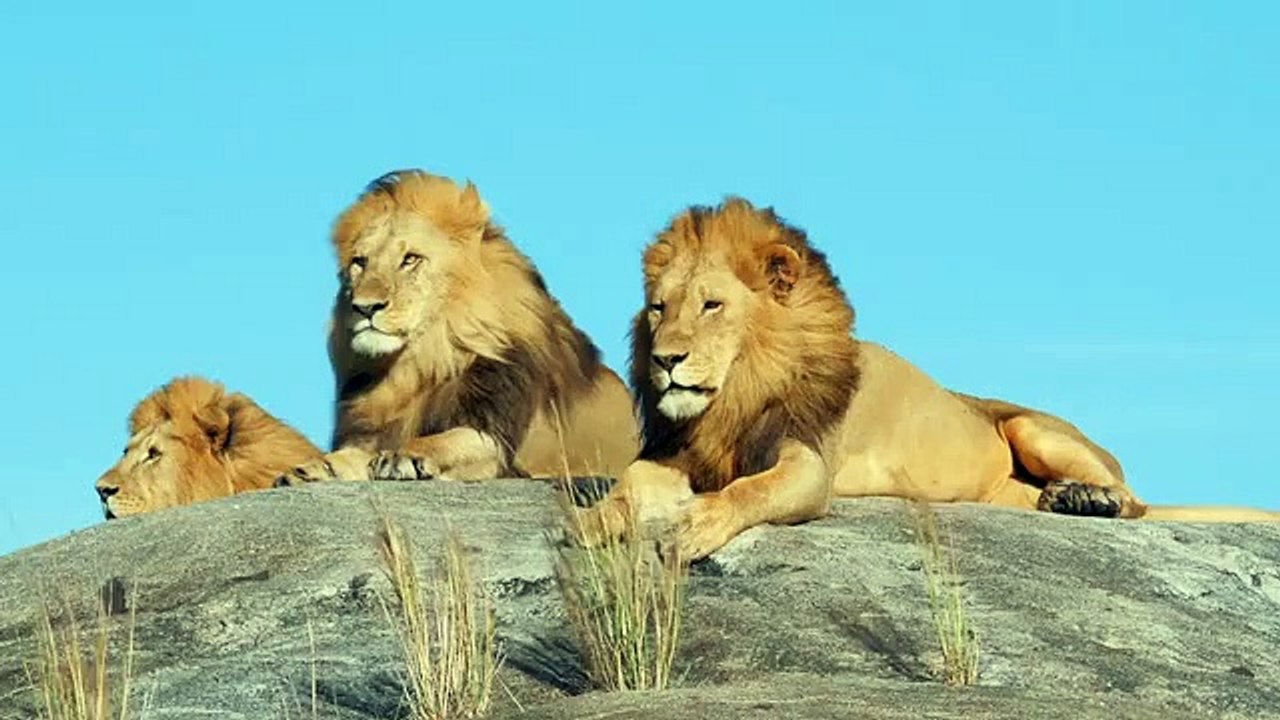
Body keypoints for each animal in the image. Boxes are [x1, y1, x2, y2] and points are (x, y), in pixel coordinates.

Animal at [275, 169, 639, 487]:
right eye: (359, 262)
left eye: (410, 259)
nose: (364, 307)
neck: (418, 364)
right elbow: (349, 455)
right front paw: (312, 469)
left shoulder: (494, 437)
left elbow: (444, 441)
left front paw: (402, 456)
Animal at [576, 197, 1280, 560]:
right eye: (659, 308)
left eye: (712, 306)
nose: (665, 360)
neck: (738, 392)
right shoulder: (678, 453)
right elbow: (628, 485)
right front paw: (591, 522)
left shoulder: (809, 464)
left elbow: (752, 491)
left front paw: (693, 527)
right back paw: (1063, 500)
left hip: (1034, 428)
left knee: (1135, 501)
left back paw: (1091, 499)